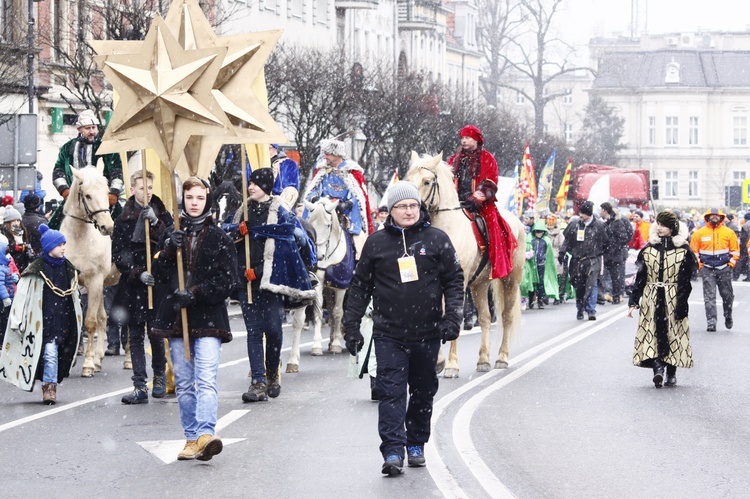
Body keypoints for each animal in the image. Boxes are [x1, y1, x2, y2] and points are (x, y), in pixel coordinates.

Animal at [58, 166, 115, 376]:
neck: (80, 237)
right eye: (88, 195)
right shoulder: (71, 283)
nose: (108, 227)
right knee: (103, 317)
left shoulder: (95, 281)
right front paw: (73, 358)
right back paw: (99, 358)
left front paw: (88, 364)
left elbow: (90, 322)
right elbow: (75, 319)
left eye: (107, 193)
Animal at [286, 197, 352, 374]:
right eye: (312, 222)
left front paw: (336, 344)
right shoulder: (320, 284)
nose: (319, 255)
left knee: (336, 312)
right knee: (329, 310)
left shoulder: (342, 286)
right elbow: (318, 312)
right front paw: (317, 346)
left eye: (328, 225)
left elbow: (338, 312)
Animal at [408, 152, 524, 378]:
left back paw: (501, 358)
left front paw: (452, 365)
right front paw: (438, 361)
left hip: (510, 282)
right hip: (479, 285)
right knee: (486, 318)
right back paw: (483, 360)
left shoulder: (458, 285)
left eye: (427, 181)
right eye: (407, 179)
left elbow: (454, 317)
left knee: (506, 317)